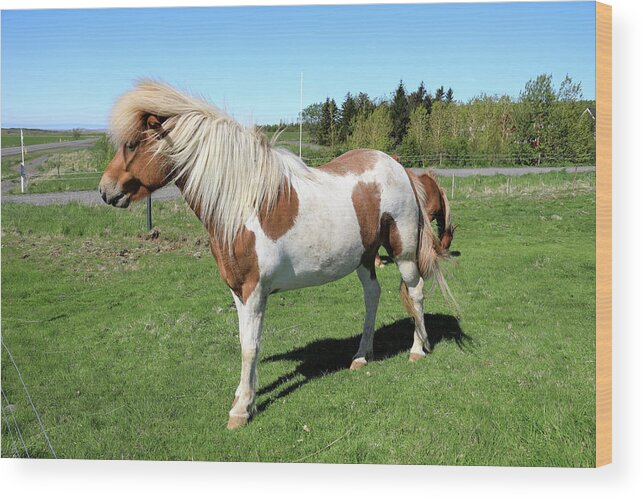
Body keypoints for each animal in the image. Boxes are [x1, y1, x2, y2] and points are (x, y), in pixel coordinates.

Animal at [98, 81, 456, 430]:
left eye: (132, 144)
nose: (104, 190)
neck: (244, 204)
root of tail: (399, 167)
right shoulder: (238, 292)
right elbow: (244, 341)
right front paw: (244, 396)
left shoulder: (254, 291)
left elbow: (250, 347)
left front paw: (241, 410)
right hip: (365, 258)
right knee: (373, 295)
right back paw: (361, 355)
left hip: (403, 253)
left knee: (415, 292)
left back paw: (417, 350)